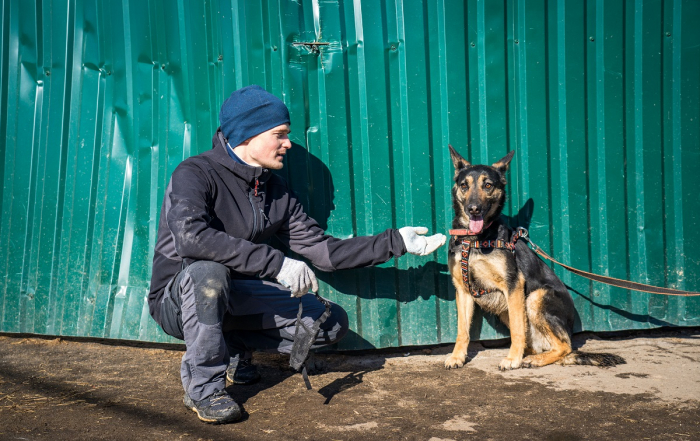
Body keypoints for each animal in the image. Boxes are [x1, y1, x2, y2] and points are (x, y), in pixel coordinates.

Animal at [442, 146, 624, 370]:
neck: (475, 238)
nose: (473, 208)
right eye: (464, 185)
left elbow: (517, 330)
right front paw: (457, 356)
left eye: (488, 185)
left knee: (565, 346)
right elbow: (462, 331)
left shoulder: (513, 285)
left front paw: (512, 359)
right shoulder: (463, 290)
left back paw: (534, 359)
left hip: (536, 297)